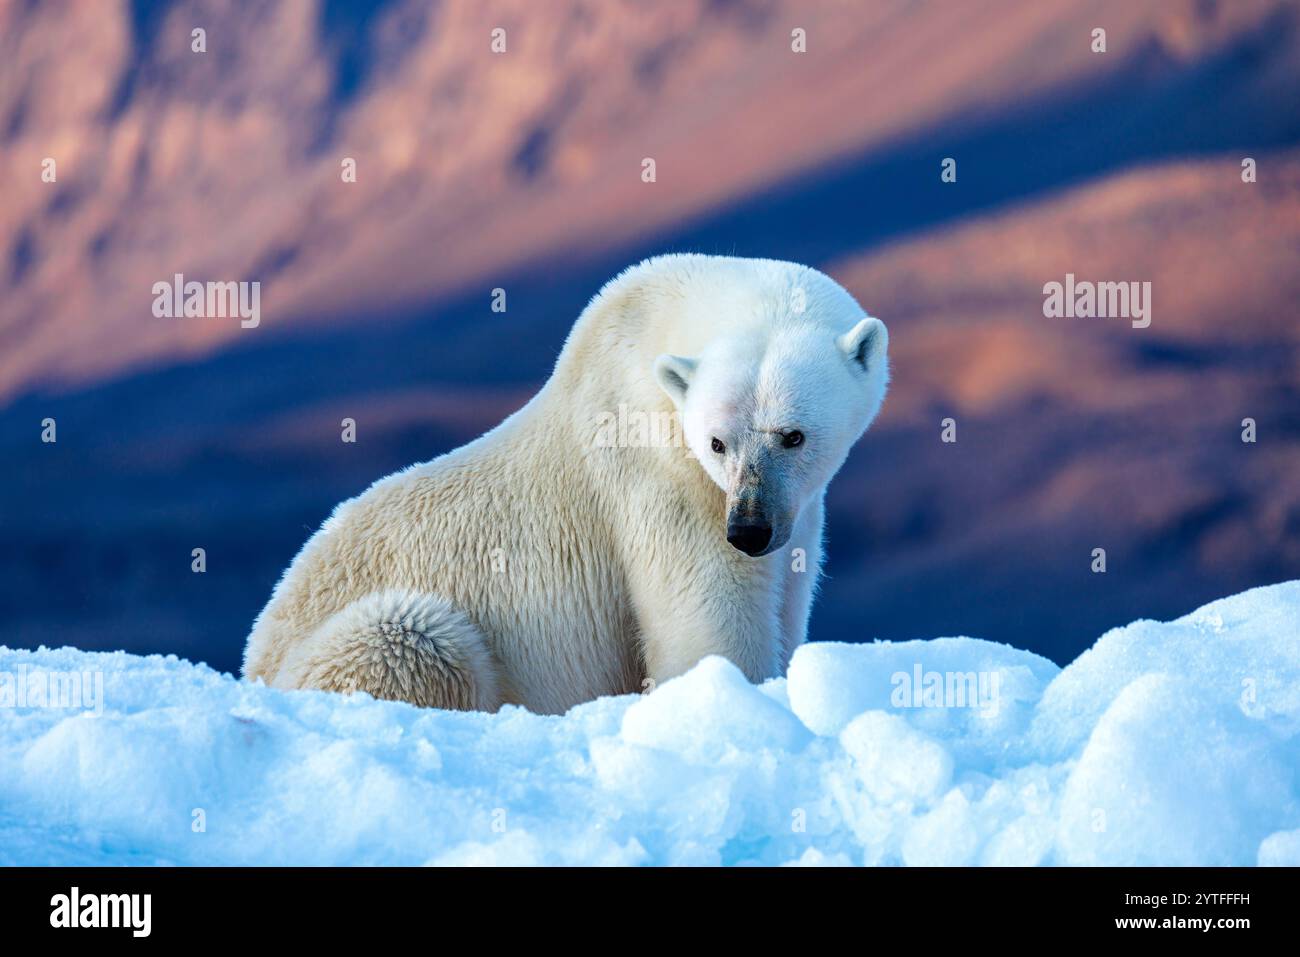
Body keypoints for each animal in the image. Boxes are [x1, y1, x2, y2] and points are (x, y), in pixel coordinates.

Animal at [241, 254, 889, 714]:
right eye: (716, 442)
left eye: (793, 435)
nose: (749, 530)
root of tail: (256, 659)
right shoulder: (662, 477)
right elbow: (708, 622)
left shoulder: (795, 509)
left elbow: (788, 591)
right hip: (360, 641)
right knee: (415, 635)